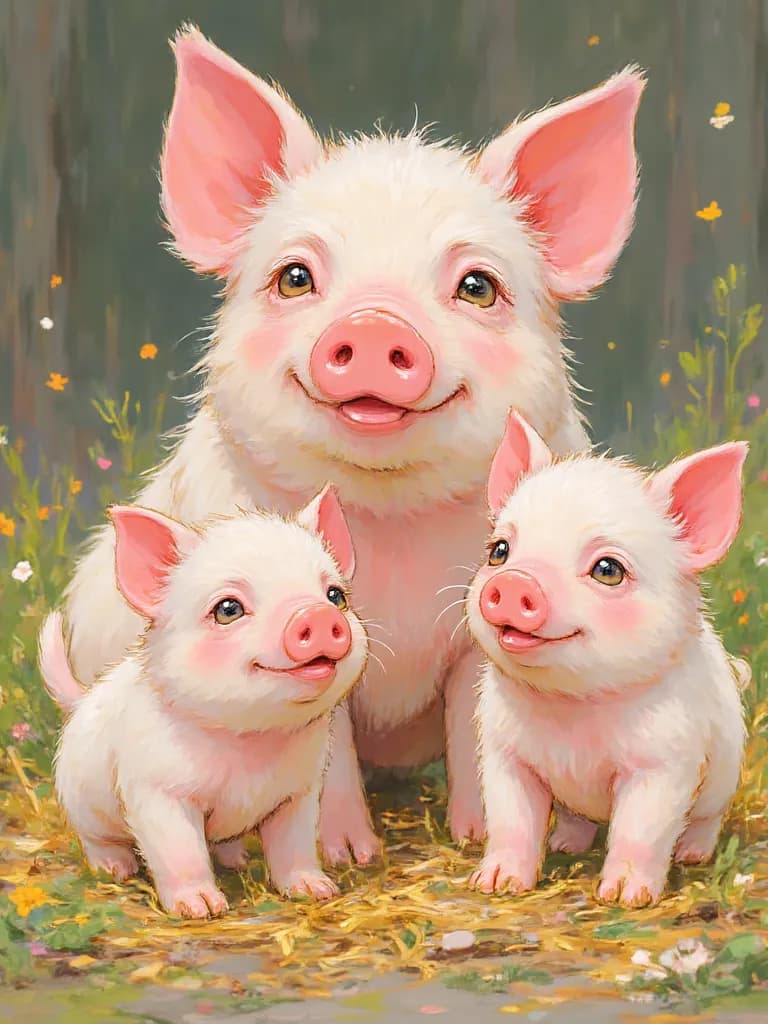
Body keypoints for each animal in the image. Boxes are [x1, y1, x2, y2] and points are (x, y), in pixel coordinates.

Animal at [39, 485, 368, 917]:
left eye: (335, 596)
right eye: (228, 609)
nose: (315, 614)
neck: (252, 745)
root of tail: (80, 701)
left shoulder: (300, 791)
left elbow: (294, 845)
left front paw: (317, 890)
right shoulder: (155, 788)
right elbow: (180, 851)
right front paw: (202, 910)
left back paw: (238, 859)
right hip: (80, 801)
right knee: (96, 840)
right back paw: (116, 870)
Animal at [62, 24, 646, 862]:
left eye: (477, 286)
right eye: (295, 276)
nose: (373, 326)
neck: (388, 524)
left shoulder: (473, 636)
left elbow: (473, 723)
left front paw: (473, 841)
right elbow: (327, 746)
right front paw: (346, 856)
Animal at [466, 410, 749, 907]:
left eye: (608, 569)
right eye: (499, 550)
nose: (516, 581)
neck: (571, 712)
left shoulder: (665, 760)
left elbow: (640, 831)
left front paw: (624, 898)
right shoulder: (502, 752)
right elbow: (511, 821)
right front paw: (494, 885)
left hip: (725, 774)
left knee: (706, 820)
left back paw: (693, 854)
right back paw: (564, 843)